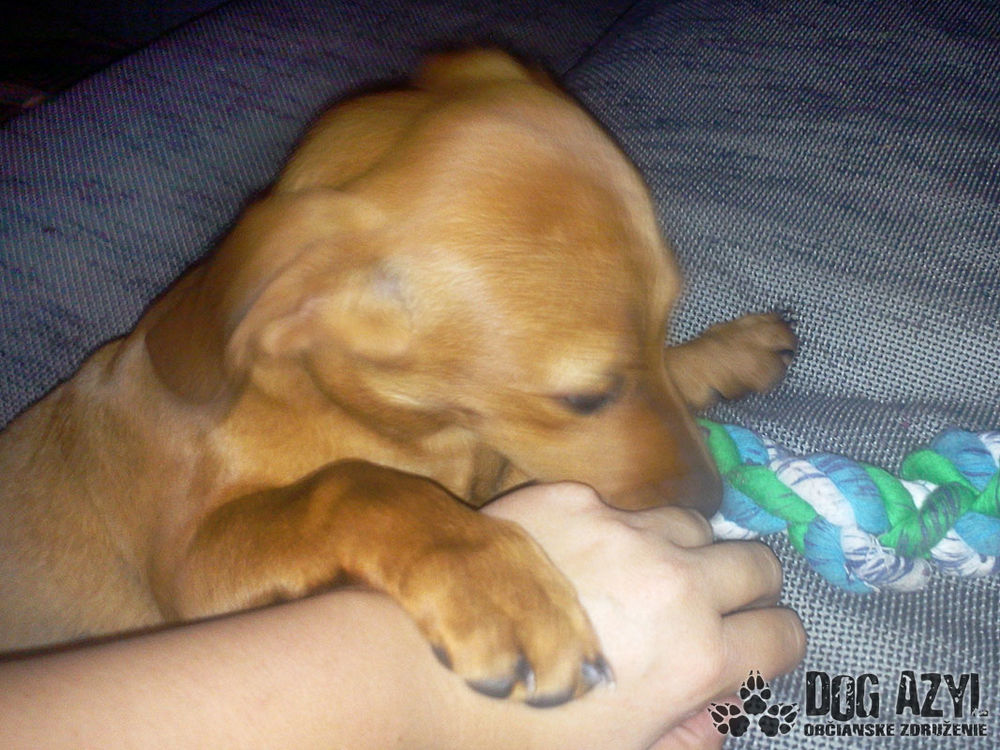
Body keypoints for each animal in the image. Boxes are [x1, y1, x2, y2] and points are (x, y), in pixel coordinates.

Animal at [0, 50, 795, 706]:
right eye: (584, 397)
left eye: (665, 328)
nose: (708, 501)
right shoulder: (198, 572)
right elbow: (354, 487)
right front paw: (494, 583)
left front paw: (721, 352)